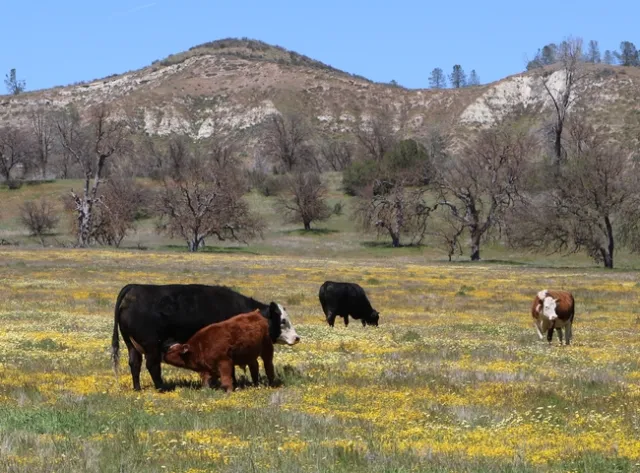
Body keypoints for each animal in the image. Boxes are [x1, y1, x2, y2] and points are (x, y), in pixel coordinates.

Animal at [111, 284, 300, 391]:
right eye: (283, 321)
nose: (297, 337)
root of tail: (133, 288)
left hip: (132, 345)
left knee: (134, 364)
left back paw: (137, 388)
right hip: (151, 346)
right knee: (152, 365)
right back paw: (161, 388)